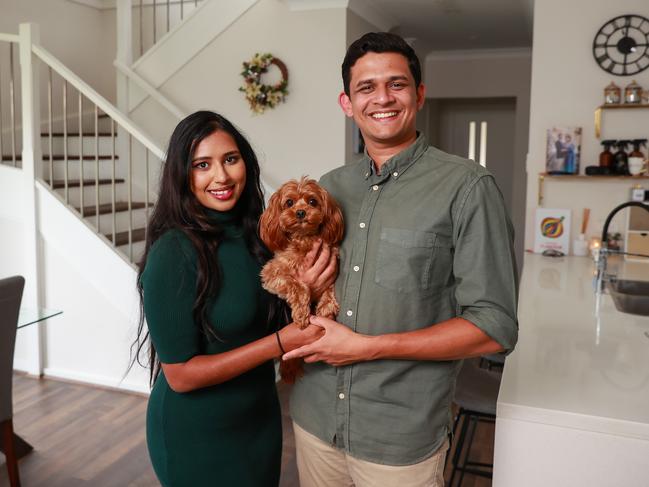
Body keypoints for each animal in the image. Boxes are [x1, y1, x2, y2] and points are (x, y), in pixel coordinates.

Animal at [258, 177, 344, 384]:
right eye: (289, 202)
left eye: (312, 201)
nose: (300, 212)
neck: (304, 240)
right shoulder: (272, 273)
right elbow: (298, 286)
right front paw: (302, 314)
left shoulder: (331, 265)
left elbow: (330, 287)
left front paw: (326, 307)